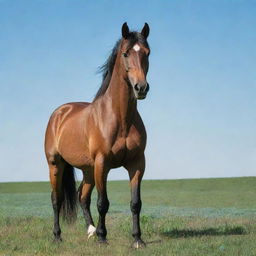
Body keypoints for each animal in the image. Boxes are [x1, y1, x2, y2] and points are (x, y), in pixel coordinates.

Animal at [44, 22, 150, 248]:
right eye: (126, 53)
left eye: (147, 52)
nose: (141, 88)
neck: (120, 119)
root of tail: (59, 113)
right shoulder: (103, 163)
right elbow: (103, 203)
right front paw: (103, 237)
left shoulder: (137, 163)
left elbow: (135, 203)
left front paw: (137, 239)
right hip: (56, 165)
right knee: (57, 199)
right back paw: (58, 236)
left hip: (88, 170)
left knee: (82, 196)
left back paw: (90, 230)